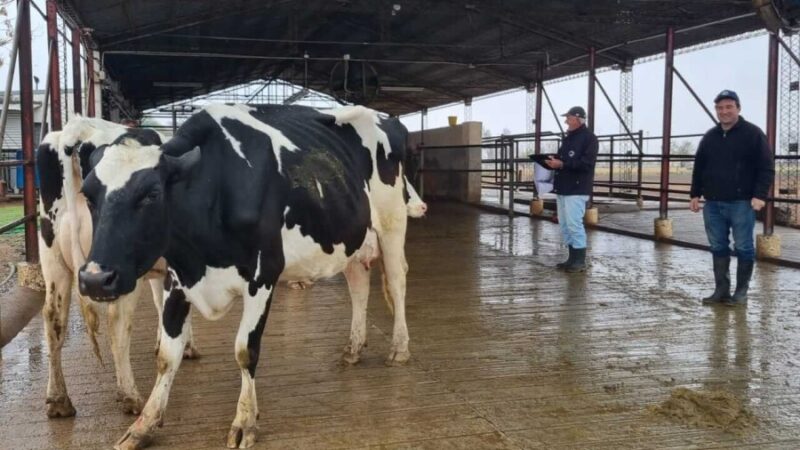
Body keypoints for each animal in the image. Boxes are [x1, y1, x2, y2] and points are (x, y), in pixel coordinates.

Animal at [36, 117, 198, 419]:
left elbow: (162, 303)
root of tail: (79, 126)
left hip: (53, 256)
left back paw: (58, 400)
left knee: (53, 317)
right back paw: (129, 395)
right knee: (117, 320)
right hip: (114, 269)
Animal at [77, 103, 416, 449]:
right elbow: (167, 356)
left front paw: (245, 421)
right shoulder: (178, 277)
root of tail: (384, 117)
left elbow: (245, 350)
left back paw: (399, 348)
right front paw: (143, 425)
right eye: (88, 195)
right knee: (358, 285)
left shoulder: (263, 275)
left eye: (152, 194)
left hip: (392, 223)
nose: (95, 279)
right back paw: (353, 348)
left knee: (397, 282)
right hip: (351, 236)